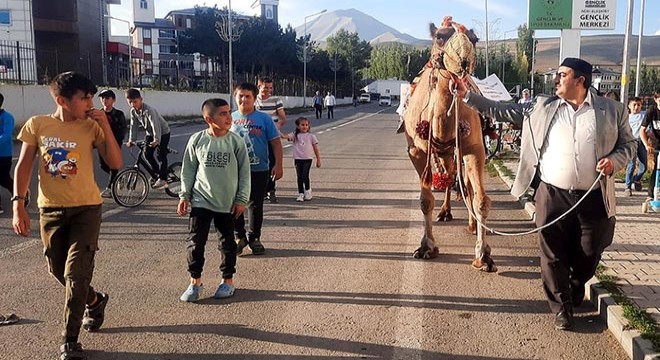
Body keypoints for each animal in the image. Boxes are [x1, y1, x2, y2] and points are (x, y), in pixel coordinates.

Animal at [402, 16, 496, 270]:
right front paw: (426, 247)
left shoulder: (474, 148)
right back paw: (445, 212)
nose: (464, 60)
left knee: (464, 183)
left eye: (474, 39)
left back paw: (471, 224)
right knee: (450, 177)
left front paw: (484, 255)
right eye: (439, 37)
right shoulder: (417, 151)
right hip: (443, 152)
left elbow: (481, 199)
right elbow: (425, 201)